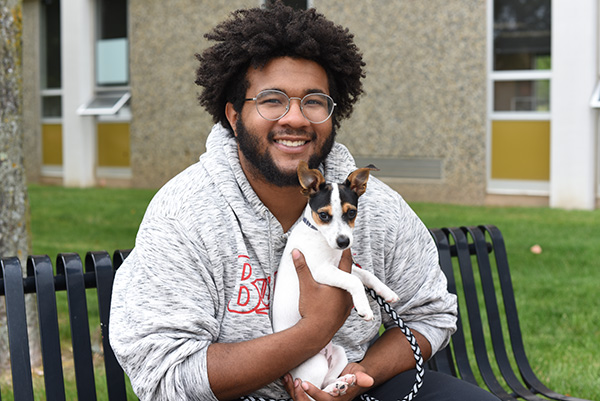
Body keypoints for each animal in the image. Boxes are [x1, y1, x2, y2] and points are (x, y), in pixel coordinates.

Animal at [274, 160, 400, 396]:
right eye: (324, 215)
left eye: (351, 213)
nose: (343, 242)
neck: (319, 236)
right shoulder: (321, 271)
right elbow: (355, 281)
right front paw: (364, 308)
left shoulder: (344, 266)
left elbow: (366, 274)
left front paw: (386, 292)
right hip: (314, 365)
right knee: (311, 390)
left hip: (339, 354)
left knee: (326, 383)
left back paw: (340, 384)